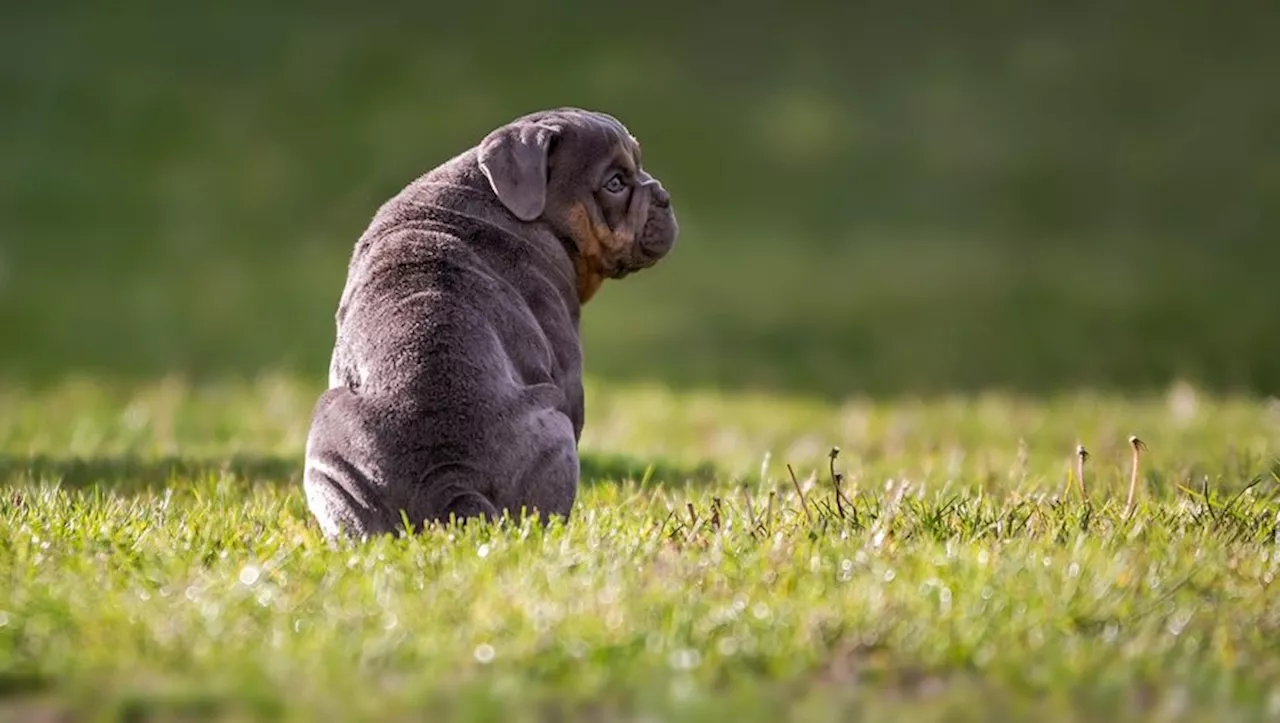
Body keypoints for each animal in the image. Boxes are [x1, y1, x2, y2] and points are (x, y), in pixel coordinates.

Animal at [300, 105, 680, 534]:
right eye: (615, 183)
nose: (663, 196)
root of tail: (448, 478)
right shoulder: (569, 374)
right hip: (555, 424)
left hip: (330, 455)